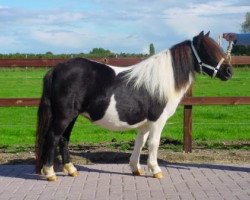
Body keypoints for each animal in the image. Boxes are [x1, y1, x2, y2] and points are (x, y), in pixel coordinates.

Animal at [35, 31, 232, 181]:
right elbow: (153, 144)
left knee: (64, 139)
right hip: (64, 116)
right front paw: (156, 170)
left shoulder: (144, 124)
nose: (229, 72)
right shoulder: (157, 121)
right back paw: (50, 173)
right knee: (53, 137)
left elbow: (140, 142)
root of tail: (56, 69)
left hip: (72, 116)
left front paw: (135, 168)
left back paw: (71, 170)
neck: (160, 82)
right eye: (208, 50)